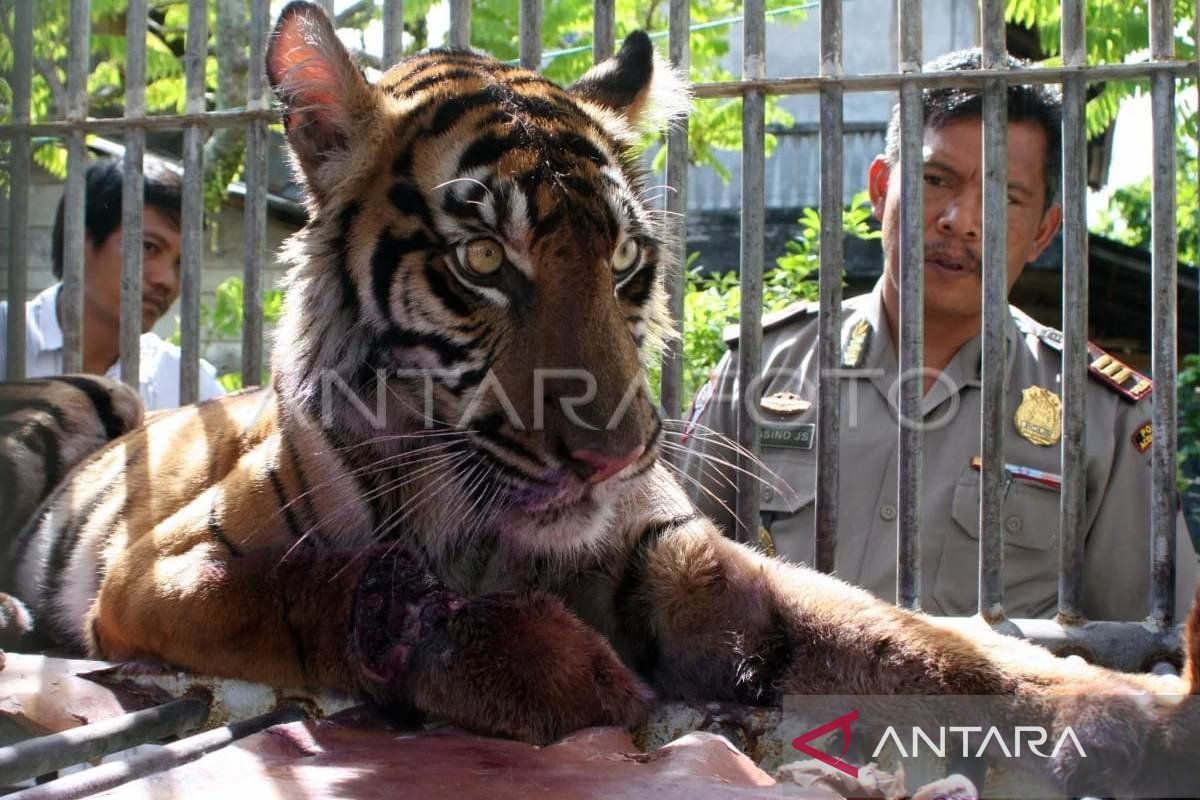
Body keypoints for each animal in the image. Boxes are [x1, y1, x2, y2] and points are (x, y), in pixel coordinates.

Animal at [1, 2, 1198, 794]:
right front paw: (568, 671)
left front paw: (1122, 712)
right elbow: (336, 589)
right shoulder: (167, 570)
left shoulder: (683, 556)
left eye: (623, 261)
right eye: (483, 258)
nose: (614, 456)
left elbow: (918, 641)